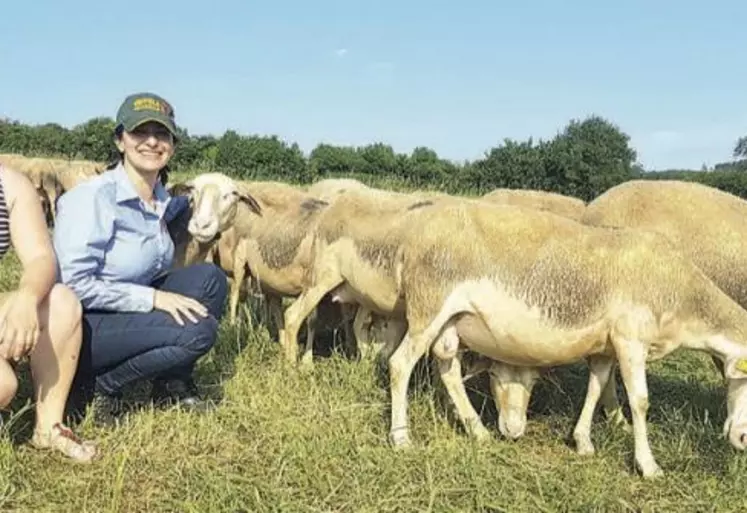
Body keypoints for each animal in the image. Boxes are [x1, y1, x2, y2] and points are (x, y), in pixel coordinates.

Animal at [386, 199, 747, 476]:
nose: (743, 441)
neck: (681, 296)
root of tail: (412, 238)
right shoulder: (631, 339)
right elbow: (640, 401)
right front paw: (649, 466)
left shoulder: (605, 348)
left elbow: (596, 388)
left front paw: (583, 442)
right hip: (428, 306)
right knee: (400, 364)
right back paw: (401, 438)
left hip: (450, 320)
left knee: (448, 367)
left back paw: (478, 432)